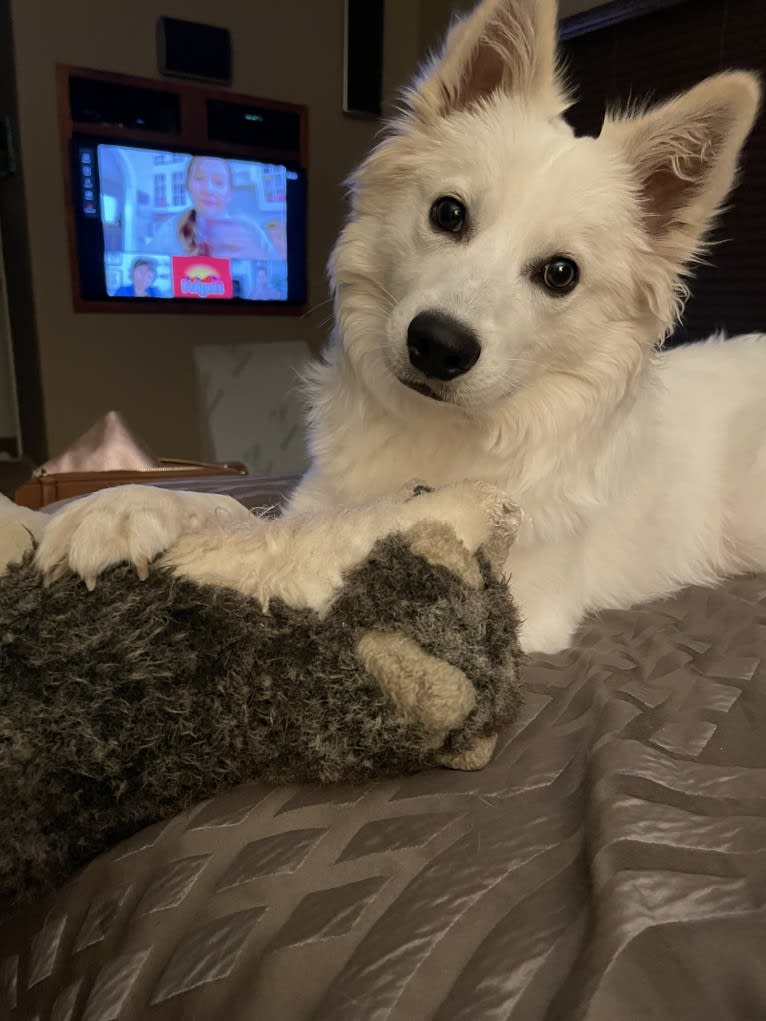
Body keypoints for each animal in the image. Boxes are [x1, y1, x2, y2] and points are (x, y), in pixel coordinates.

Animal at [27, 0, 763, 653]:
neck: (440, 430)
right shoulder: (317, 495)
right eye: (448, 213)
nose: (438, 345)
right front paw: (125, 506)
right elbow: (243, 510)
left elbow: (344, 535)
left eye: (560, 274)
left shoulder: (520, 590)